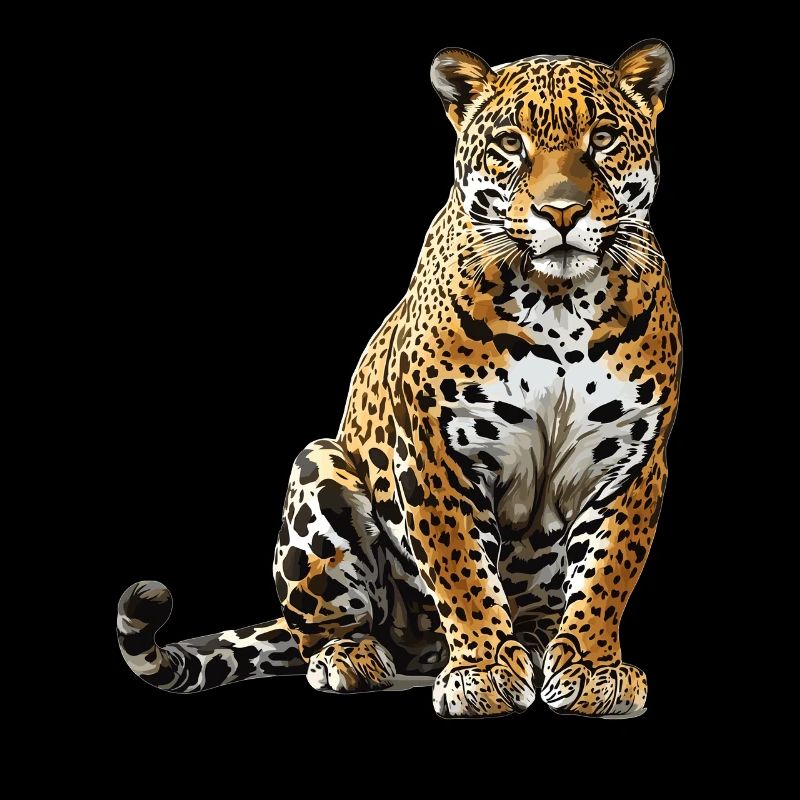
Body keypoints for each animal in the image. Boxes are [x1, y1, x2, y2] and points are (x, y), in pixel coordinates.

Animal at [118, 39, 681, 719]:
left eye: (602, 139)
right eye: (511, 144)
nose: (562, 212)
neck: (558, 302)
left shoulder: (633, 459)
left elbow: (607, 571)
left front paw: (595, 670)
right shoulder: (437, 452)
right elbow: (463, 569)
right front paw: (485, 672)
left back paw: (537, 643)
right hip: (318, 471)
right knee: (325, 627)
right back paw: (353, 656)